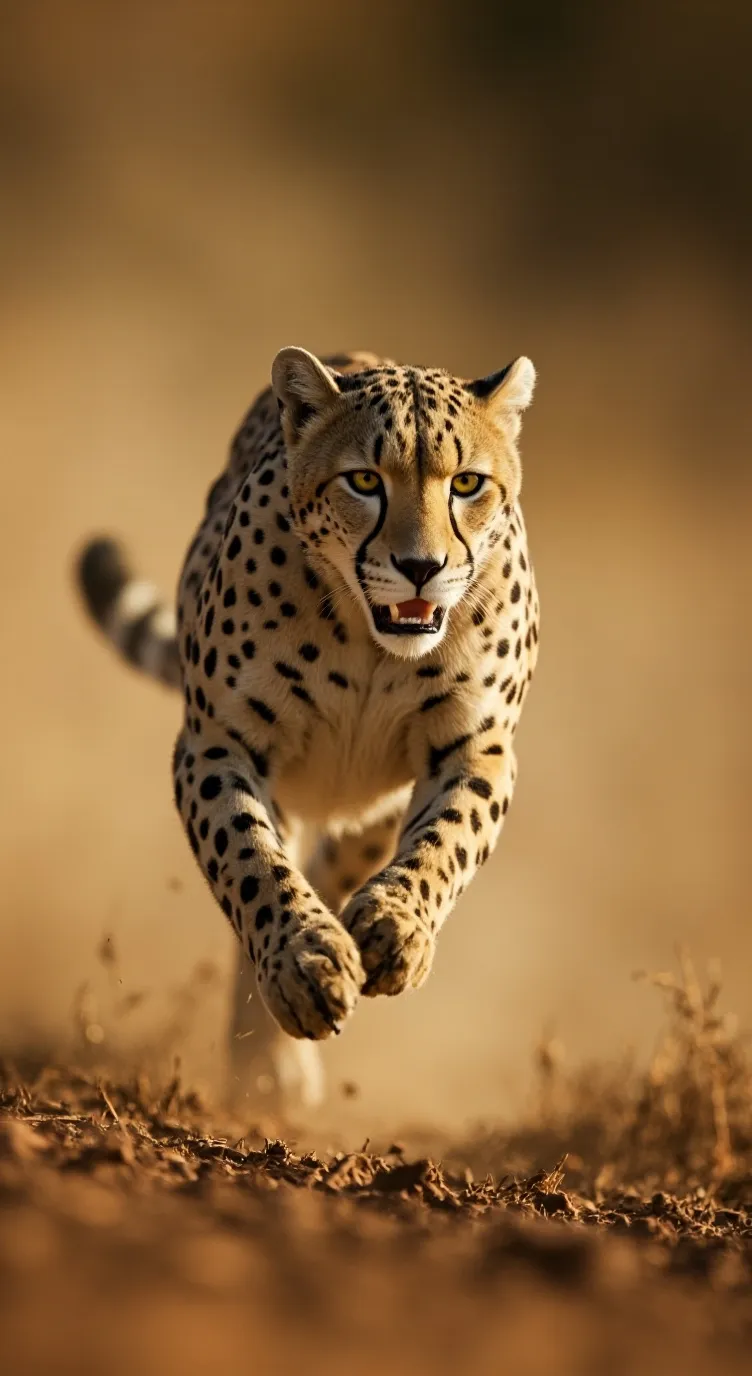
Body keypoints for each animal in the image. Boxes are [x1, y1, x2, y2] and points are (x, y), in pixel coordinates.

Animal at [77, 346, 539, 1108]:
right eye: (365, 481)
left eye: (467, 483)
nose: (421, 567)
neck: (372, 644)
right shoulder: (218, 742)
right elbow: (251, 861)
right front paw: (304, 963)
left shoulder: (475, 748)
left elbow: (446, 840)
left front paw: (395, 928)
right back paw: (270, 1060)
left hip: (370, 812)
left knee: (337, 861)